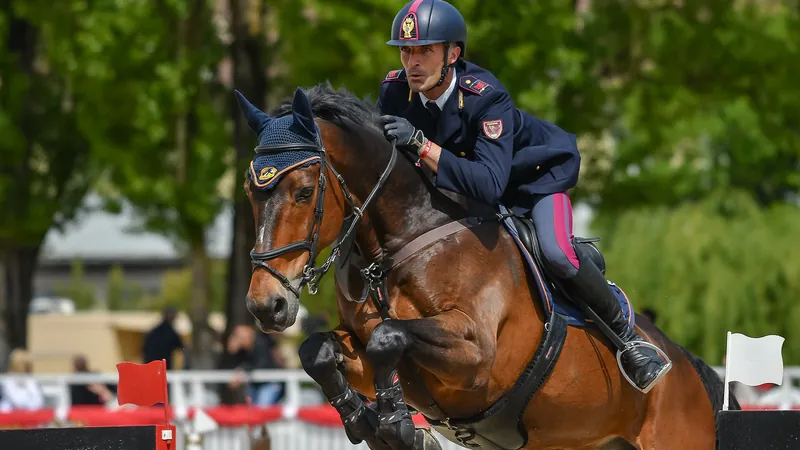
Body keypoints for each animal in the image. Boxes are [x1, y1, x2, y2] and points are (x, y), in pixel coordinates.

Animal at [236, 84, 738, 450]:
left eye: (304, 191)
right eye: (249, 192)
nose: (266, 305)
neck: (401, 240)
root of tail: (692, 370)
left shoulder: (476, 354)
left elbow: (388, 337)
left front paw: (397, 424)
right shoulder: (364, 344)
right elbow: (319, 350)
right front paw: (365, 420)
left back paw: (643, 359)